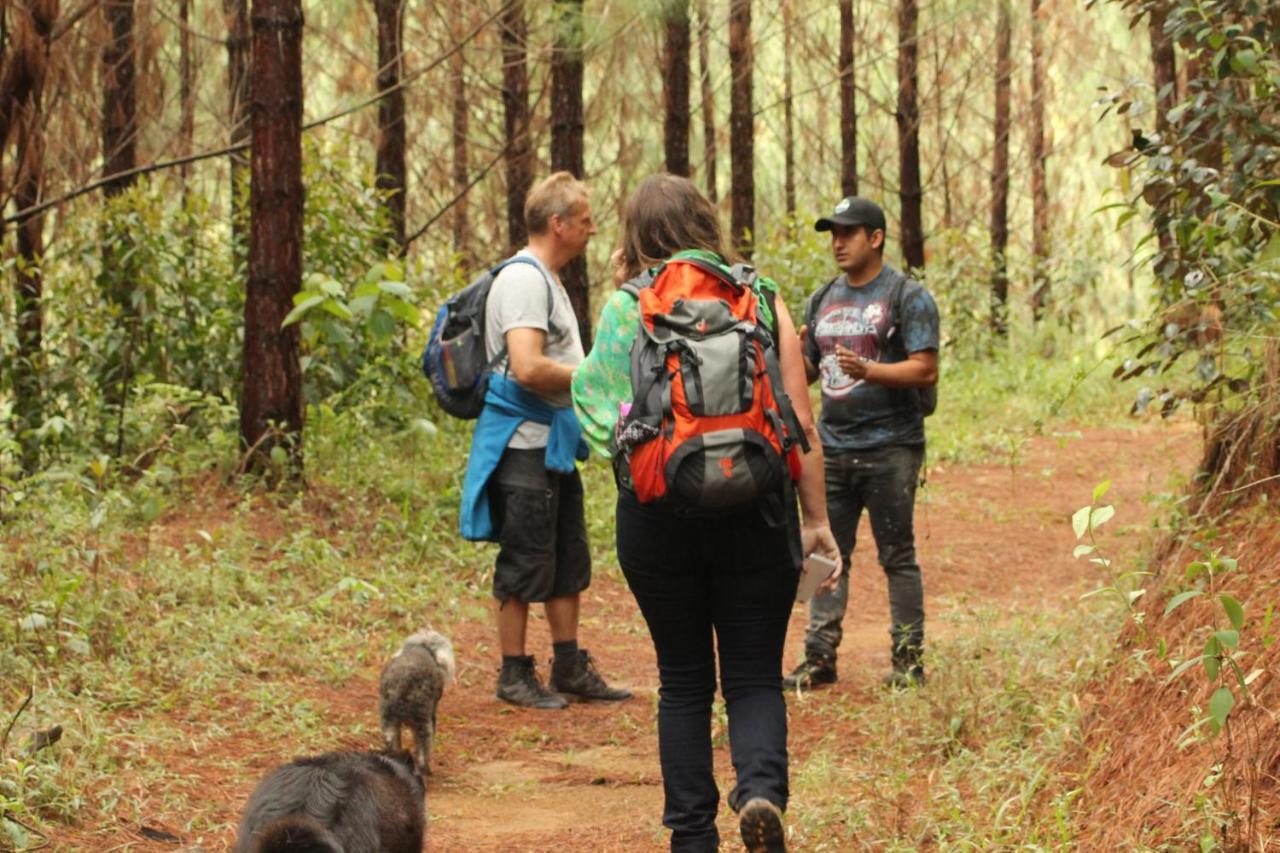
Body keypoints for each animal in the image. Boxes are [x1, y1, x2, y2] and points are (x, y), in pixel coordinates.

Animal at [376, 627, 458, 773]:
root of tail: (403, 684)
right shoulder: (431, 716)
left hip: (389, 720)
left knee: (392, 744)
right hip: (422, 723)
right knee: (423, 752)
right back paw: (426, 770)